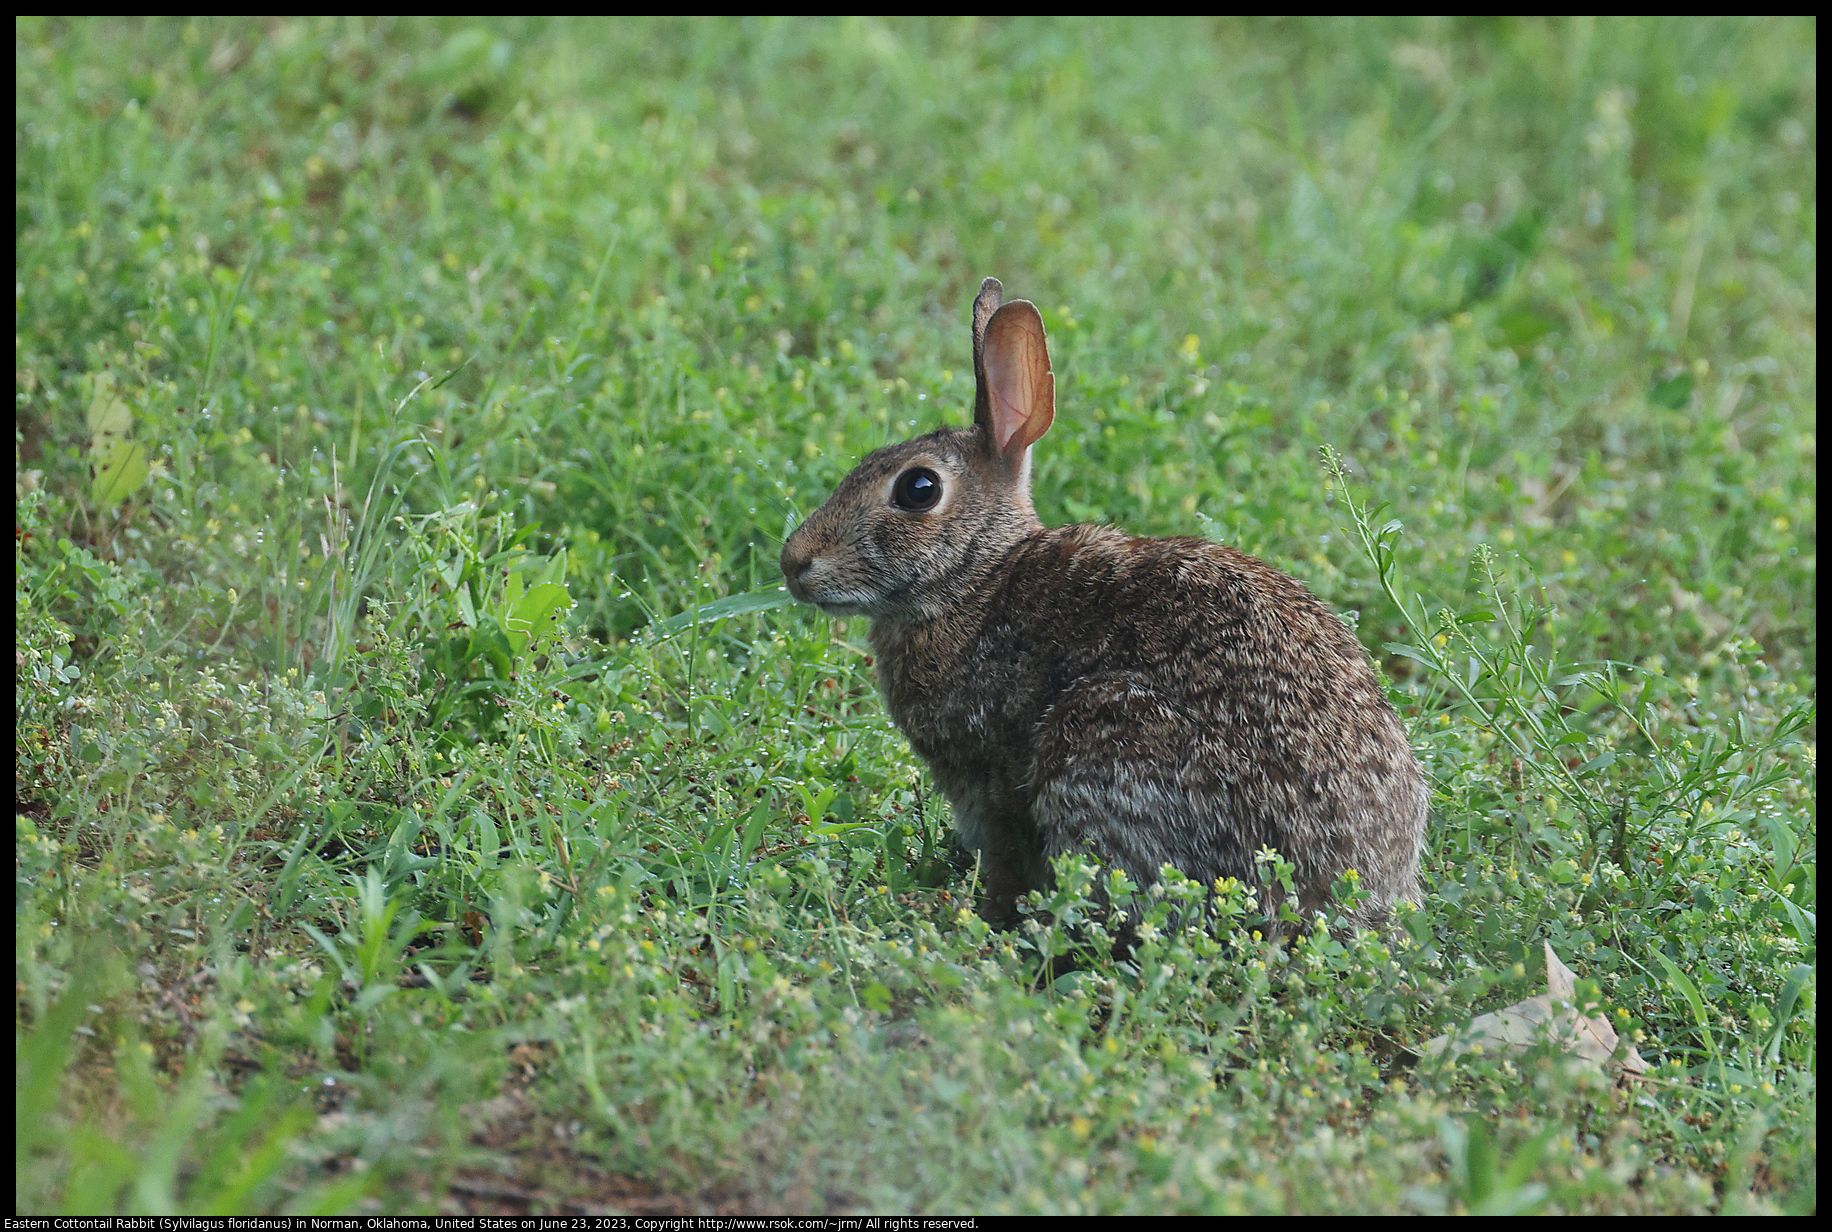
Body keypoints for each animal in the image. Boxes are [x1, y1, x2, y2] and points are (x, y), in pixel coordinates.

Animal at [780, 276, 1421, 935]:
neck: (976, 581)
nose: (793, 563)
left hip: (1104, 743)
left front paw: (982, 915)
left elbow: (1005, 860)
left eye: (918, 489)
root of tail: (1341, 892)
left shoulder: (992, 783)